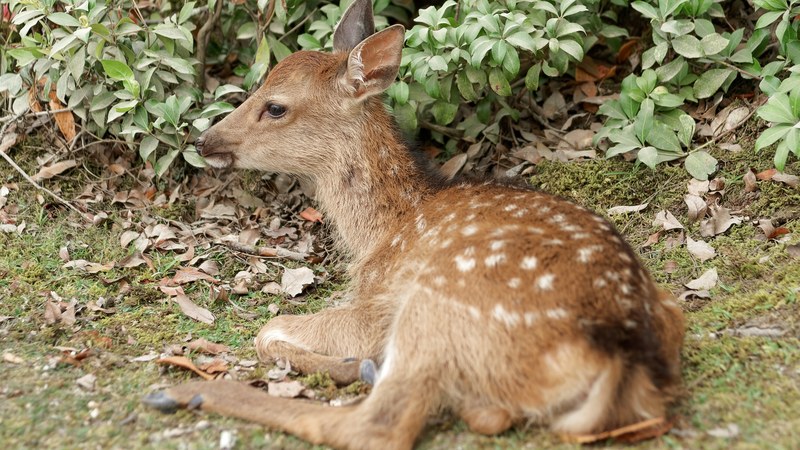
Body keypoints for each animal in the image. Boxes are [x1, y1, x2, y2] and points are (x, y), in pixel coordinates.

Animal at [143, 0, 686, 448]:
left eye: (275, 106)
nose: (204, 140)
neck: (385, 229)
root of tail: (622, 352)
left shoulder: (378, 304)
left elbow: (268, 329)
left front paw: (346, 362)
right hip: (667, 309)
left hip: (436, 308)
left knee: (377, 427)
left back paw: (186, 392)